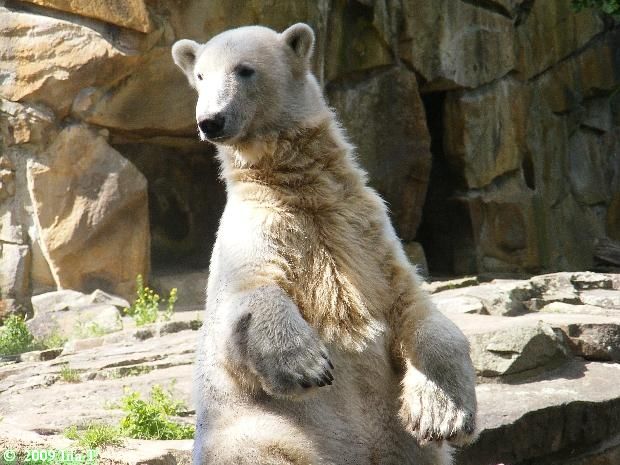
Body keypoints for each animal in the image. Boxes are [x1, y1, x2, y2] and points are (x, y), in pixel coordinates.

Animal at [172, 23, 477, 465]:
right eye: (200, 76)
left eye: (244, 69)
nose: (210, 120)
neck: (302, 190)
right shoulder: (253, 230)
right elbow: (249, 295)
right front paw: (307, 364)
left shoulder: (364, 231)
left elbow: (415, 307)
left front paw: (442, 414)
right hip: (265, 430)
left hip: (395, 442)